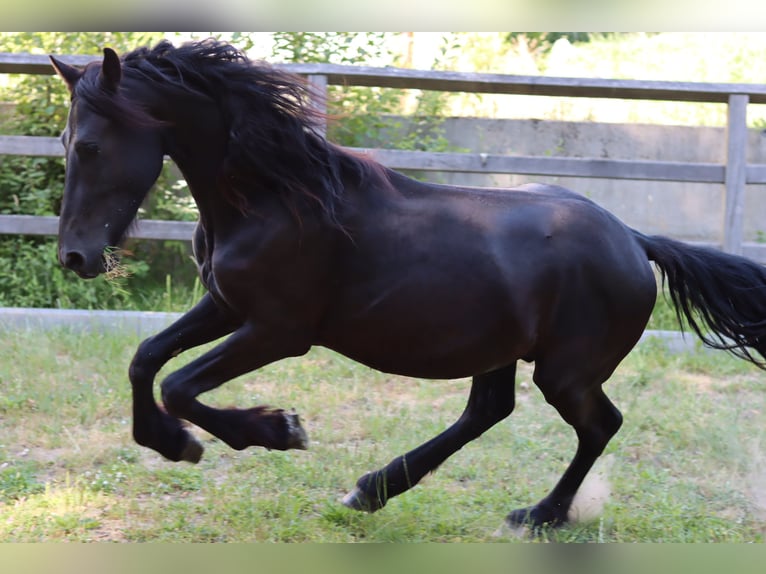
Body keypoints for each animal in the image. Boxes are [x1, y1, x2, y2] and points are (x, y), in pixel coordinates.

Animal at [49, 39, 766, 529]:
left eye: (89, 146)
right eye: (64, 142)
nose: (75, 257)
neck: (274, 197)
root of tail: (635, 241)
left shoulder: (279, 330)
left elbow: (178, 383)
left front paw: (276, 430)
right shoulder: (226, 306)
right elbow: (146, 360)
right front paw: (172, 443)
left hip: (565, 371)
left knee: (598, 424)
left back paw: (538, 514)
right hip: (501, 350)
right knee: (489, 412)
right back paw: (373, 490)